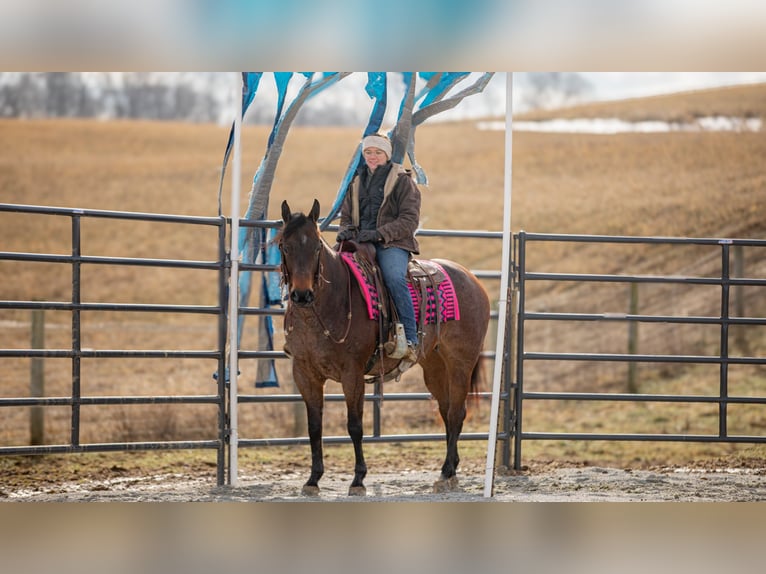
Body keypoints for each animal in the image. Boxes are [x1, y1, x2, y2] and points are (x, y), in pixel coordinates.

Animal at [280, 200, 488, 498]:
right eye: (284, 246)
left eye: (317, 247)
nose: (301, 294)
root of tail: (473, 280)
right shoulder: (304, 373)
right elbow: (314, 427)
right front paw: (313, 479)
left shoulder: (352, 373)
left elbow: (355, 425)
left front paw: (358, 480)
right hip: (435, 367)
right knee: (447, 411)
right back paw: (449, 471)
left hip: (461, 363)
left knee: (457, 413)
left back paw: (447, 472)